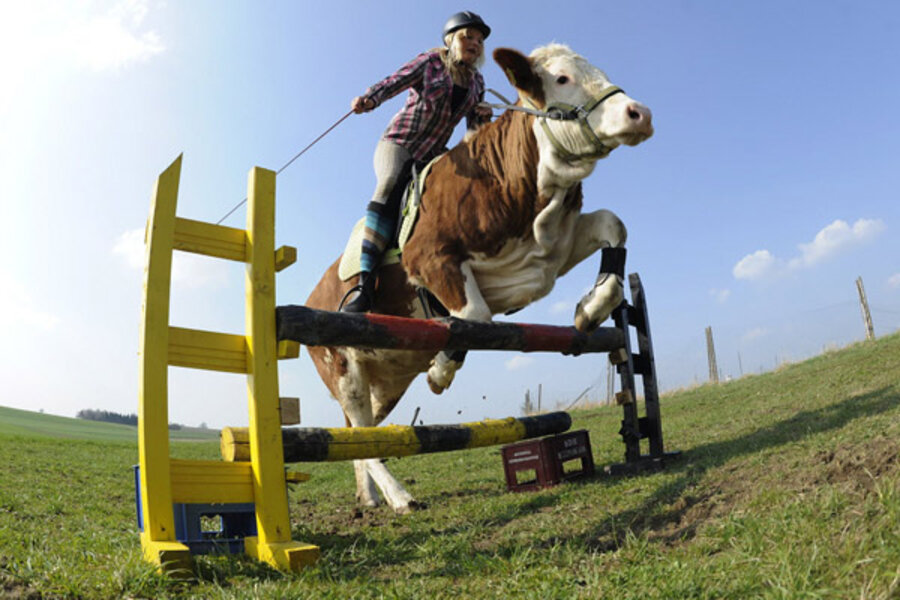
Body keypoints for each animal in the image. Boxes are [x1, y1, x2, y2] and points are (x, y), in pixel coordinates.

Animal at [304, 44, 653, 512]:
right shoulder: (430, 259)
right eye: (562, 78)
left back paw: (370, 497)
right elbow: (474, 315)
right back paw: (399, 497)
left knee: (357, 434)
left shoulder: (548, 251)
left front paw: (591, 308)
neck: (509, 180)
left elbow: (613, 225)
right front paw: (440, 372)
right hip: (343, 369)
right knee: (360, 432)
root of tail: (311, 296)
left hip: (387, 381)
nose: (640, 113)